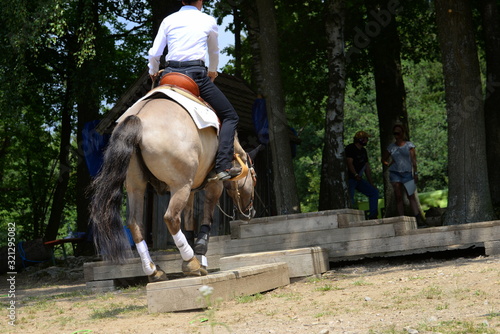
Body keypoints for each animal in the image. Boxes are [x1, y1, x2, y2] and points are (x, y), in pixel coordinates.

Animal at [88, 74, 258, 280]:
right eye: (254, 178)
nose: (250, 213)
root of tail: (140, 119)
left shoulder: (192, 189)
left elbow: (189, 220)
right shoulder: (213, 184)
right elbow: (206, 216)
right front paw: (200, 252)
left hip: (136, 186)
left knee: (135, 223)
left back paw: (154, 270)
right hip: (179, 185)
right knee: (170, 218)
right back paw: (190, 263)